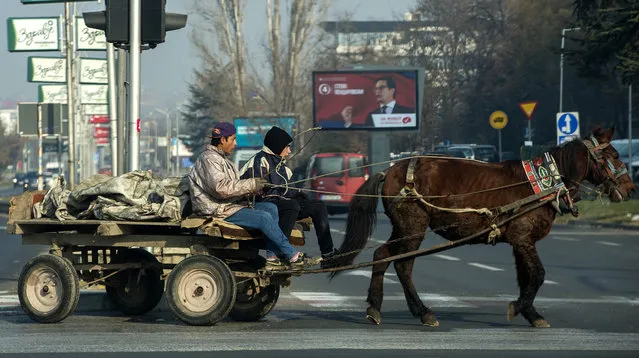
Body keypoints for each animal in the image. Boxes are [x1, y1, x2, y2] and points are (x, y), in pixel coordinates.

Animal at [332, 127, 636, 328]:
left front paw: (531, 312)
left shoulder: (518, 242)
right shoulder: (523, 238)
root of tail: (391, 170)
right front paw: (520, 308)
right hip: (412, 227)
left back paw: (378, 306)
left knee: (383, 257)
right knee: (402, 264)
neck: (541, 184)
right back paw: (421, 311)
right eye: (615, 154)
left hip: (403, 228)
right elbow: (538, 275)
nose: (631, 189)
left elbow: (525, 277)